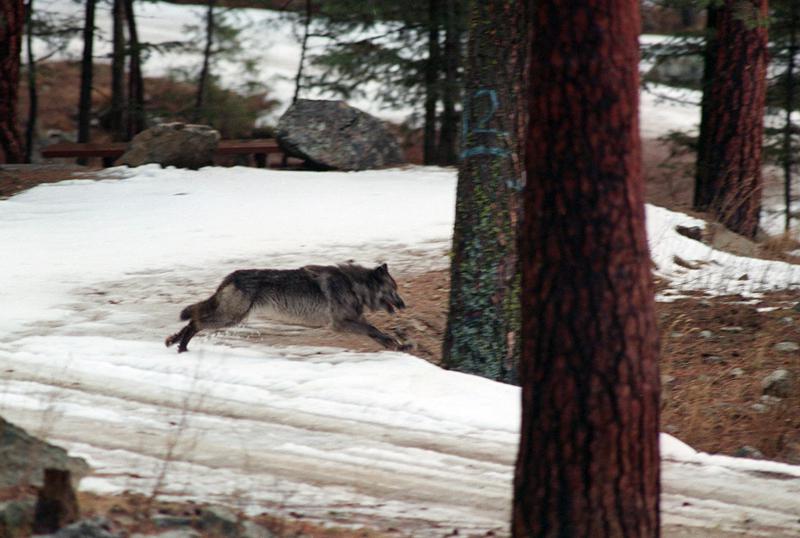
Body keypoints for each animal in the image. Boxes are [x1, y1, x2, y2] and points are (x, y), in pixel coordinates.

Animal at [166, 260, 410, 352]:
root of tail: (231, 276)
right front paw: (395, 343)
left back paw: (174, 341)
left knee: (194, 317)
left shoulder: (354, 320)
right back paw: (182, 346)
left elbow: (375, 333)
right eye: (393, 289)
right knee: (196, 321)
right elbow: (374, 329)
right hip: (230, 318)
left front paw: (398, 345)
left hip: (229, 316)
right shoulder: (341, 324)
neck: (353, 285)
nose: (404, 305)